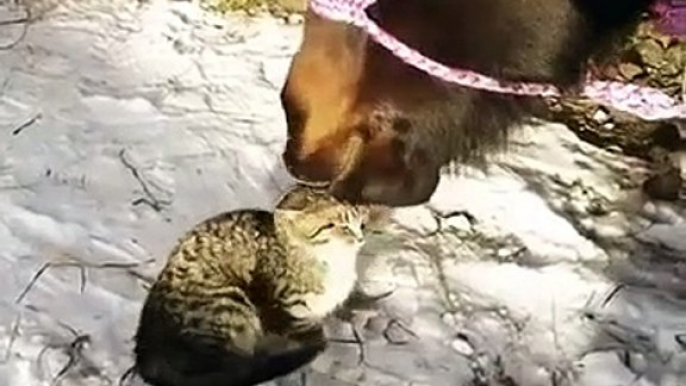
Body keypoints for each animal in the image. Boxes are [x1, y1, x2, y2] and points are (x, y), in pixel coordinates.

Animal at [129, 184, 388, 386]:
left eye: (359, 223)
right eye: (335, 225)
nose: (359, 238)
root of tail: (147, 356)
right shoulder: (285, 311)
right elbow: (309, 336)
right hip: (231, 303)